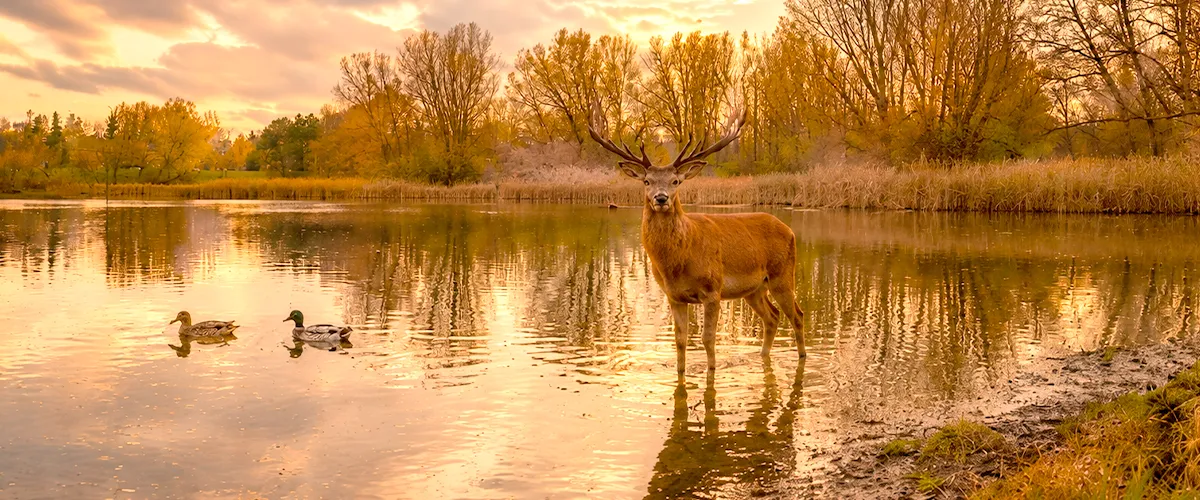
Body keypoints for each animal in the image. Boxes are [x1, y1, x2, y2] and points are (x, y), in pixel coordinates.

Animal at [588, 103, 806, 377]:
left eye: (675, 181)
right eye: (647, 181)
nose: (661, 198)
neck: (679, 260)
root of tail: (789, 230)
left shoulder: (712, 289)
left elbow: (707, 339)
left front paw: (711, 371)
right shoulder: (674, 296)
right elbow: (680, 340)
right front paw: (681, 373)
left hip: (783, 274)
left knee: (797, 315)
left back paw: (802, 356)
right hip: (754, 289)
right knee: (773, 317)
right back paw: (763, 356)